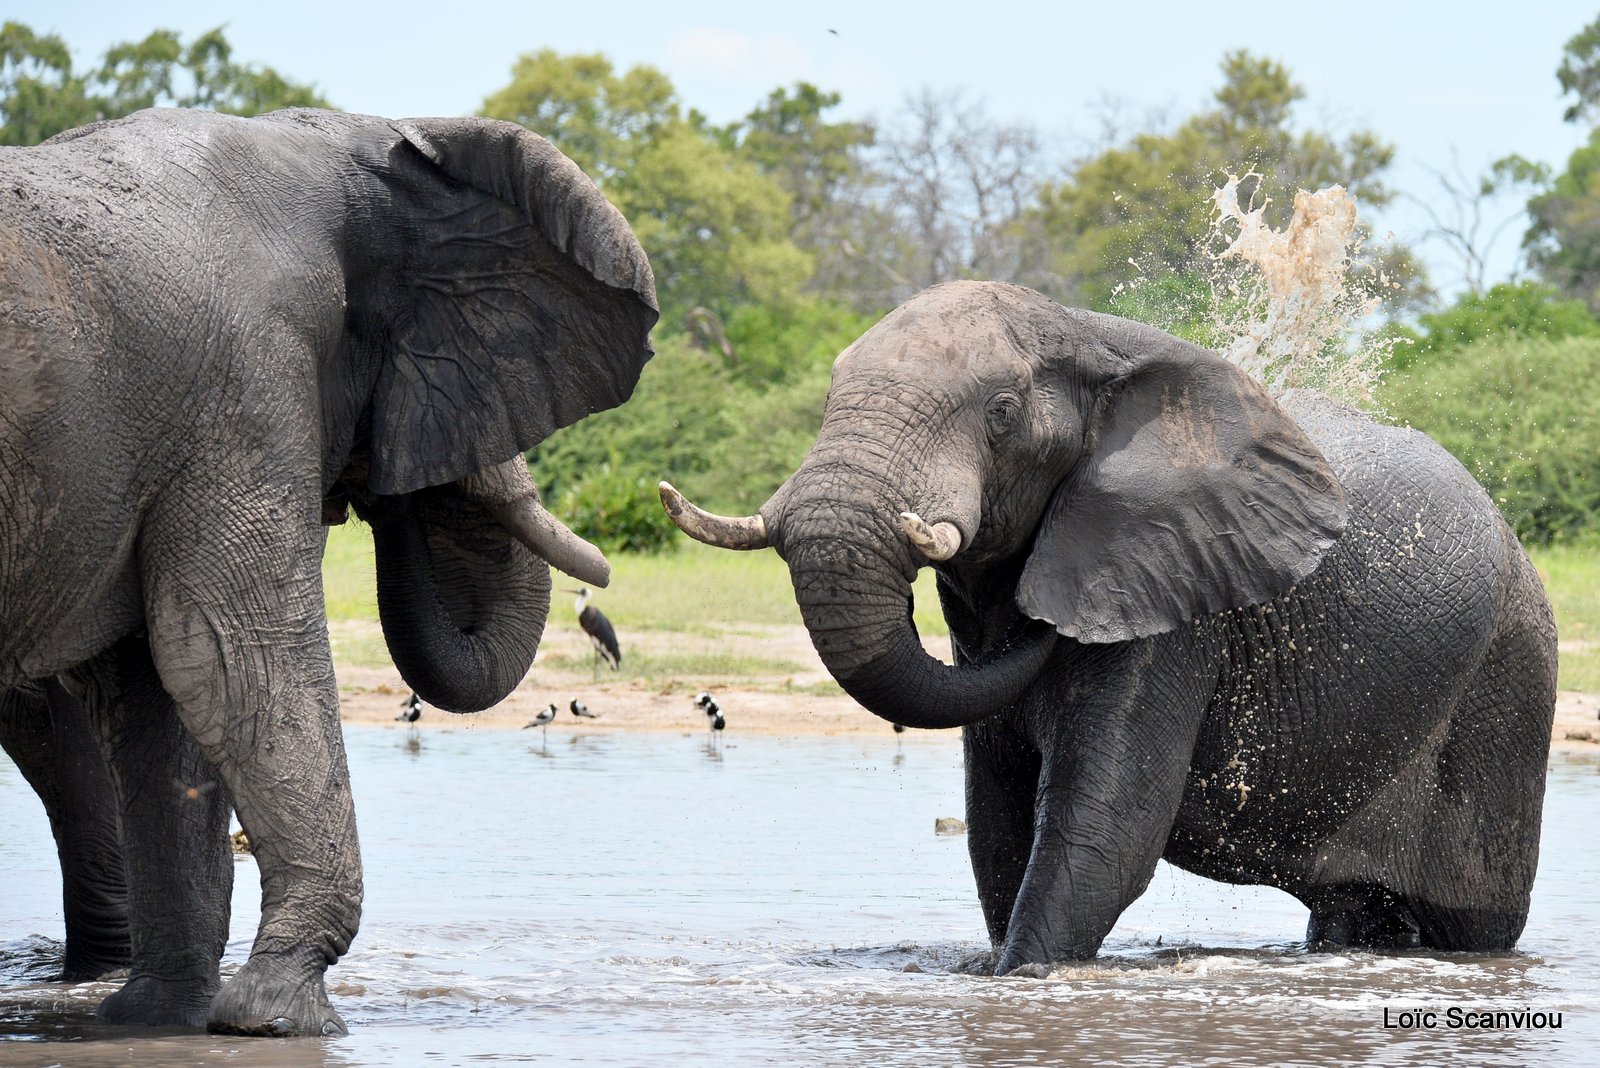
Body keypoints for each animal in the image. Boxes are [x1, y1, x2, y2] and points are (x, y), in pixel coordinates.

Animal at [0, 108, 656, 1036]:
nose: (384, 486)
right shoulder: (245, 382)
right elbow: (235, 654)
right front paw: (276, 1017)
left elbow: (162, 691)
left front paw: (159, 1021)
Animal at [665, 279, 1561, 972]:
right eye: (828, 397)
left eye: (1001, 412)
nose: (1031, 615)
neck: (1085, 333)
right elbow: (997, 828)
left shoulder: (1173, 594)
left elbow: (1104, 828)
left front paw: (1022, 978)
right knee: (1352, 911)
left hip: (1509, 683)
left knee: (1469, 923)